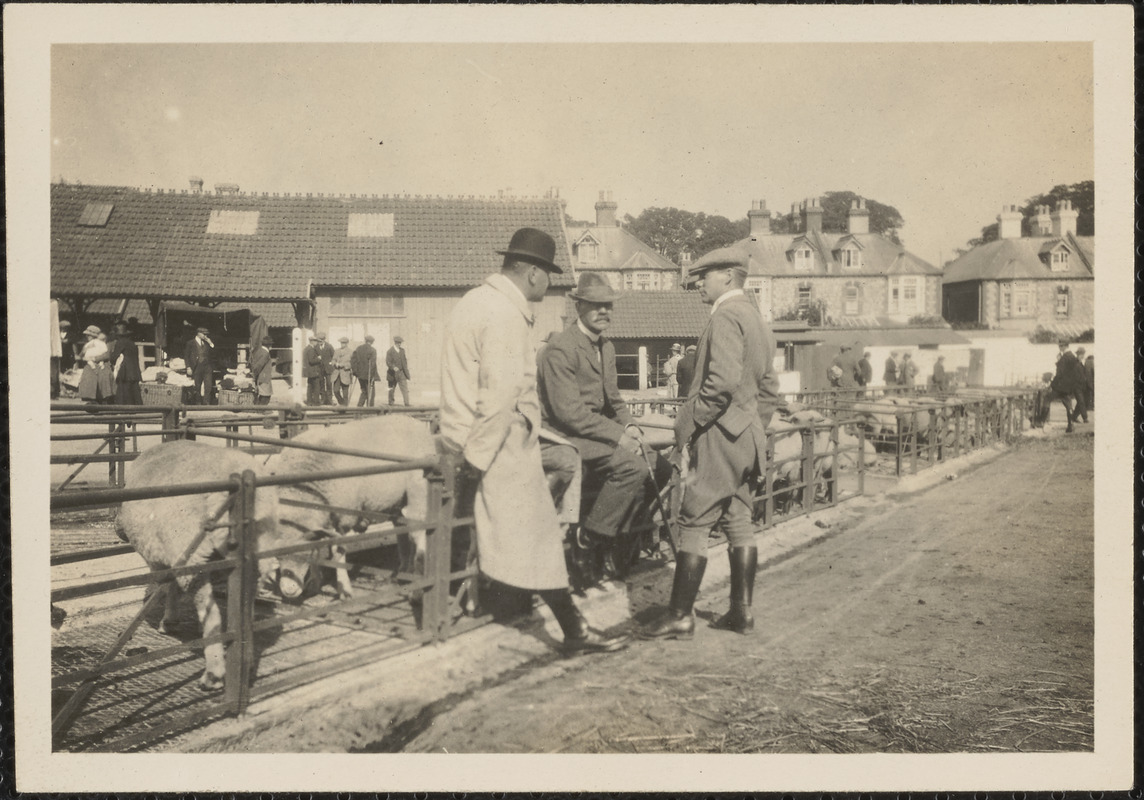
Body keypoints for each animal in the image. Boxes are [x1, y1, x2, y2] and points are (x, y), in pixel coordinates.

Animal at [116, 441, 315, 691]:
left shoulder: (171, 557)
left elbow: (170, 587)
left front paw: (169, 620)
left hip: (193, 555)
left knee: (212, 616)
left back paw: (214, 674)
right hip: (253, 558)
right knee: (246, 612)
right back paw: (245, 661)